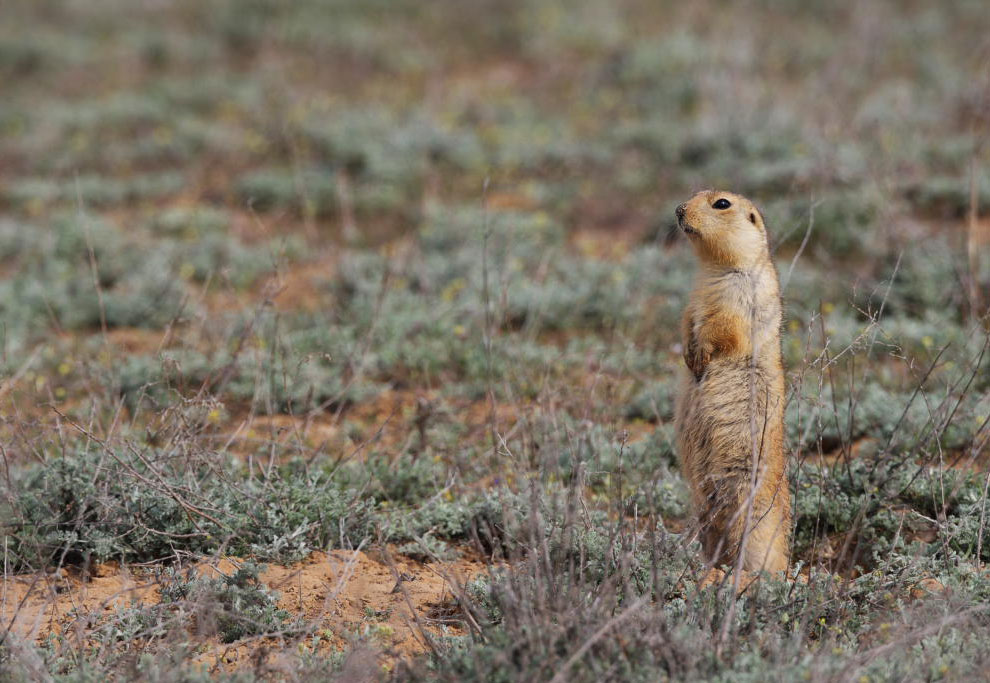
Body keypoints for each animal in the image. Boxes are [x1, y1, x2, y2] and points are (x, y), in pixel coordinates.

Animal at [676, 190, 792, 576]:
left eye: (722, 204)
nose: (678, 209)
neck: (712, 269)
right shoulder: (693, 297)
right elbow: (687, 319)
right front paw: (689, 353)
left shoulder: (740, 295)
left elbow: (724, 328)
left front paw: (700, 357)